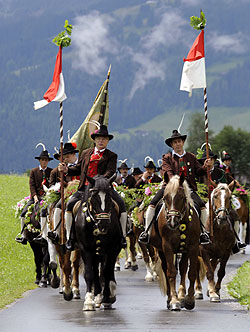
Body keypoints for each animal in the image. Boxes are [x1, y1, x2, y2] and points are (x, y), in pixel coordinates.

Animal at [74, 174, 122, 312]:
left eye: (110, 197)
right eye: (94, 198)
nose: (103, 224)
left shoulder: (111, 249)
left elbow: (106, 272)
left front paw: (106, 298)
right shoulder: (86, 249)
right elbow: (90, 274)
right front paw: (89, 301)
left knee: (106, 272)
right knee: (95, 272)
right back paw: (97, 296)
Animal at [149, 174, 200, 312]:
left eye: (181, 197)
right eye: (165, 197)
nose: (172, 222)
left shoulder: (193, 246)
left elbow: (191, 272)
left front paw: (189, 300)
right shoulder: (167, 246)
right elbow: (171, 272)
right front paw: (174, 301)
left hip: (184, 249)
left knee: (183, 268)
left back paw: (181, 295)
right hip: (161, 250)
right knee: (166, 269)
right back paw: (170, 298)